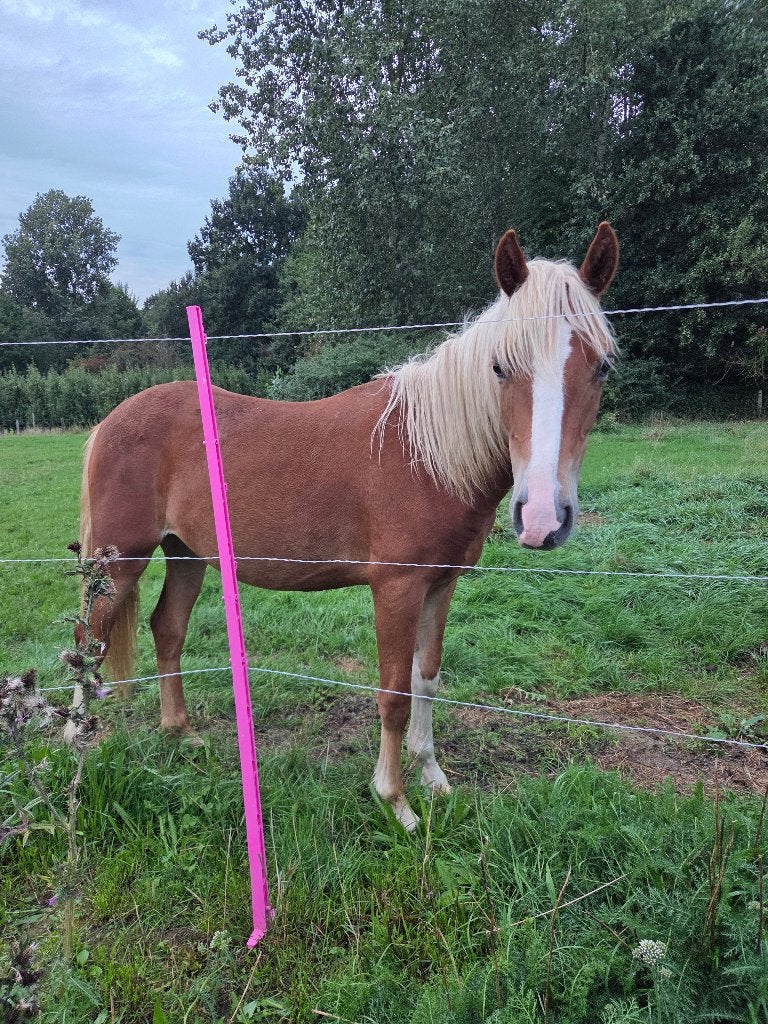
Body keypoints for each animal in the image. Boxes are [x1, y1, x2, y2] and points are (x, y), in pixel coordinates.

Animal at [74, 223, 619, 830]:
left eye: (602, 366)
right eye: (501, 366)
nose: (542, 518)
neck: (427, 455)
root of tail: (109, 422)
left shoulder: (441, 583)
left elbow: (427, 678)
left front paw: (433, 778)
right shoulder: (397, 588)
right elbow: (394, 693)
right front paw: (395, 801)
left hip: (187, 554)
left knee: (166, 628)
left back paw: (181, 734)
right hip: (120, 561)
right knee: (87, 639)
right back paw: (76, 740)